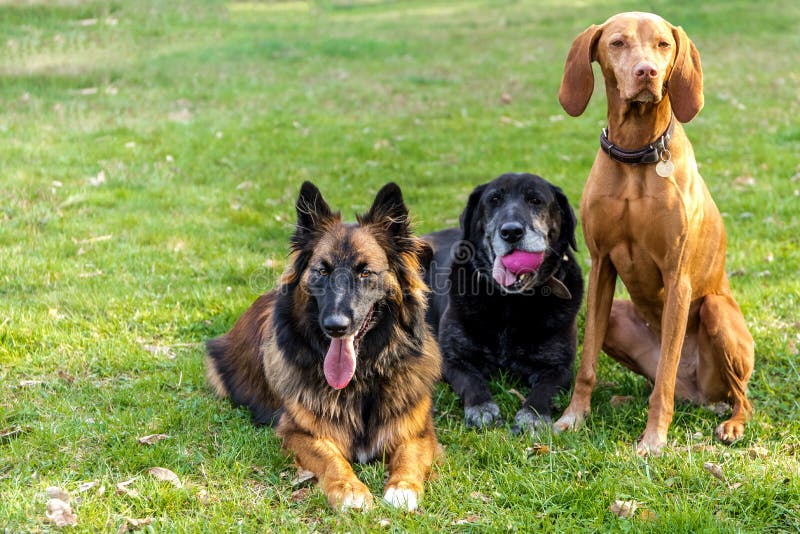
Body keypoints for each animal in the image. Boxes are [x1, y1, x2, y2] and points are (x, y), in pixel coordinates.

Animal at [206, 182, 440, 512]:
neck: (361, 379)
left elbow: (408, 457)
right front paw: (350, 489)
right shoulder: (298, 431)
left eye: (365, 272)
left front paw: (402, 488)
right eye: (323, 270)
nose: (335, 326)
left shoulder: (418, 431)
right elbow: (331, 459)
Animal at [424, 175, 580, 436]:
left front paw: (532, 417)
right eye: (494, 199)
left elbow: (544, 391)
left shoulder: (559, 367)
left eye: (536, 200)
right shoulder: (452, 359)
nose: (511, 231)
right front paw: (482, 409)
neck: (509, 302)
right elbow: (472, 382)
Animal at [552, 11, 752, 456]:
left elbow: (663, 380)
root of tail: (700, 394)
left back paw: (732, 424)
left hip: (716, 313)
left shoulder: (678, 277)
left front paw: (654, 439)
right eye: (618, 43)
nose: (648, 72)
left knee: (737, 396)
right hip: (617, 318)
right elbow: (586, 363)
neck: (635, 154)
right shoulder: (601, 265)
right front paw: (573, 416)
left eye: (663, 44)